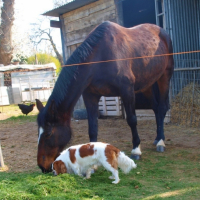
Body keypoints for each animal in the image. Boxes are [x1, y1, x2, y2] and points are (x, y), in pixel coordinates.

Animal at [35, 21, 173, 173]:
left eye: (48, 133)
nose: (42, 166)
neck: (100, 57)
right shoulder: (90, 96)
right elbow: (92, 128)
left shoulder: (127, 91)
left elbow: (132, 120)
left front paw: (136, 150)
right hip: (147, 84)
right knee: (156, 109)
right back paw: (157, 138)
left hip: (164, 76)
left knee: (162, 108)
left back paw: (161, 142)